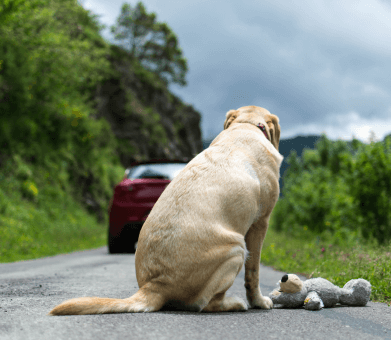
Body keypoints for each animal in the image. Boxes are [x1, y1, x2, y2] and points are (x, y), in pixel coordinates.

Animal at [49, 105, 282, 316]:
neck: (245, 125)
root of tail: (156, 285)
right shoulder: (261, 222)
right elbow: (254, 271)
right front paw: (259, 301)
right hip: (236, 248)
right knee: (206, 304)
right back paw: (235, 303)